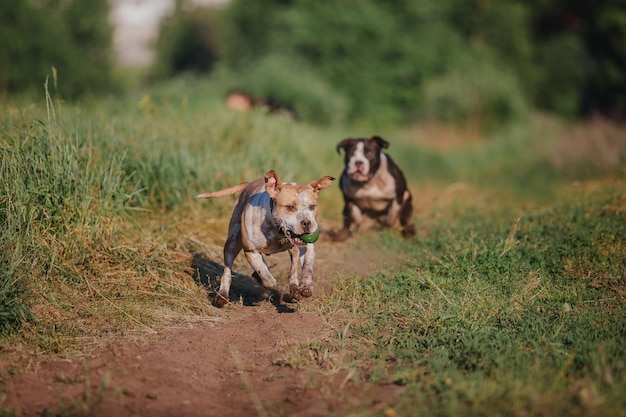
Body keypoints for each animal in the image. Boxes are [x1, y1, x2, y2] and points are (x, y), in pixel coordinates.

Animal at [197, 169, 334, 306]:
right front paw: (260, 278)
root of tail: (248, 184)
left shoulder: (306, 247)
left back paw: (295, 288)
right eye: (290, 207)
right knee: (228, 271)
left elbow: (307, 267)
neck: (278, 230)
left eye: (312, 207)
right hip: (232, 242)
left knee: (293, 267)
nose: (307, 223)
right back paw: (222, 295)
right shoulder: (251, 251)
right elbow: (268, 278)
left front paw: (305, 286)